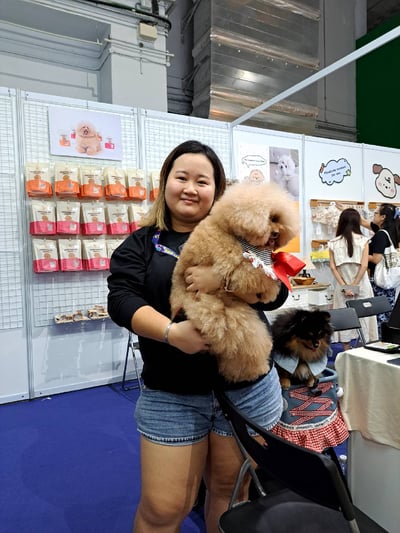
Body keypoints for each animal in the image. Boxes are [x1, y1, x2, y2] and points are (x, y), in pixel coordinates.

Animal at [170, 182, 300, 382]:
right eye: (269, 219)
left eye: (277, 218)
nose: (277, 233)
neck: (235, 233)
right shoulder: (234, 262)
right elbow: (257, 276)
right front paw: (269, 291)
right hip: (222, 314)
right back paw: (253, 370)